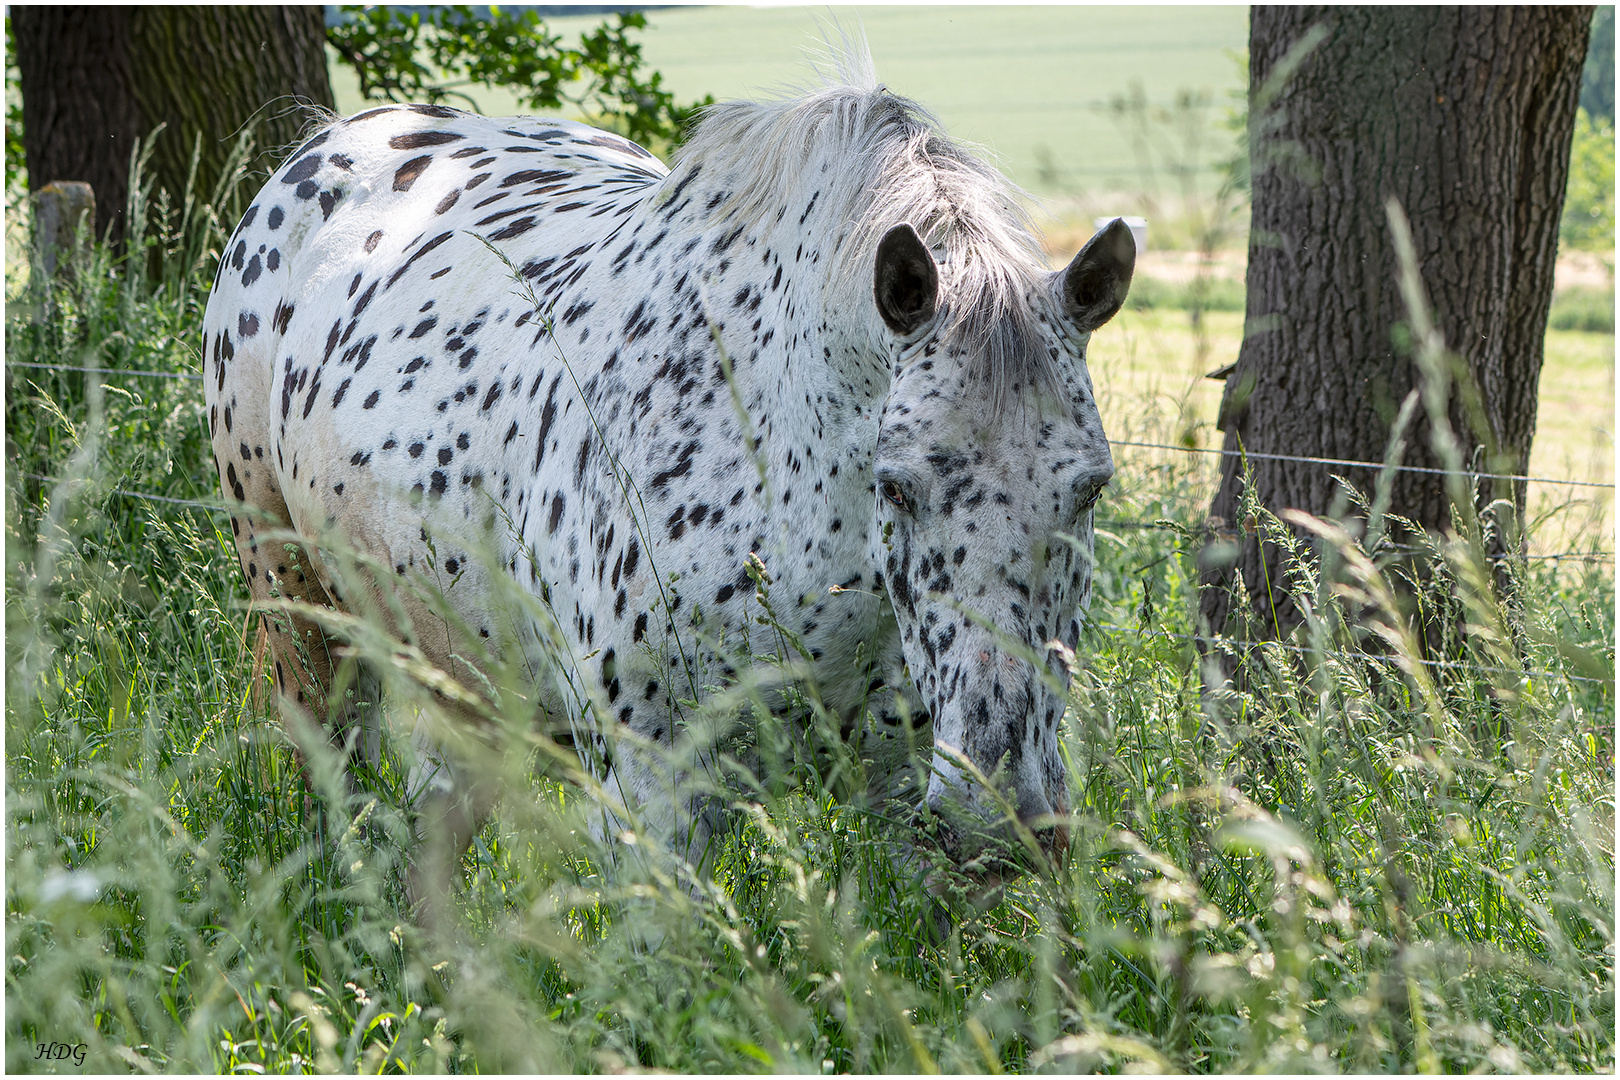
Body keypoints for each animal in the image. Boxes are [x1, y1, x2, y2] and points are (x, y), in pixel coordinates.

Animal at [202, 46, 1134, 919]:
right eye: (898, 487)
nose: (999, 816)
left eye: (1091, 490)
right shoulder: (655, 803)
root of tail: (333, 141)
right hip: (297, 615)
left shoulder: (901, 792)